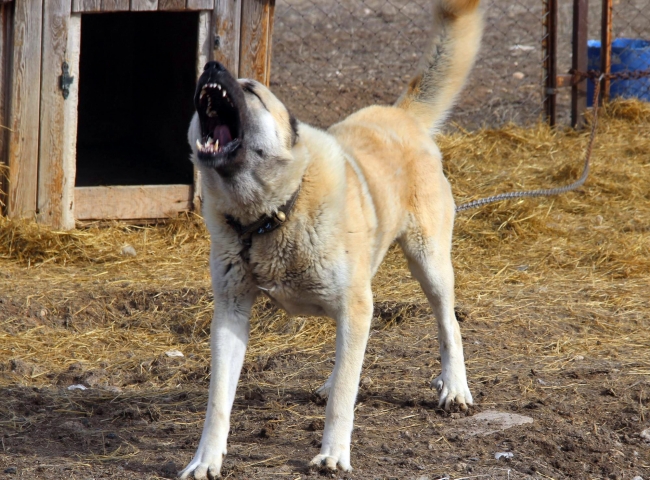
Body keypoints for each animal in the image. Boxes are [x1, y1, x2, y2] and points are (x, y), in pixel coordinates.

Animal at [180, 1, 484, 478]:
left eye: (250, 90)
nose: (211, 65)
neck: (269, 217)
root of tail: (402, 115)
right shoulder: (231, 312)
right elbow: (219, 402)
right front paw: (205, 459)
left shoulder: (354, 304)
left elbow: (344, 396)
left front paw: (333, 454)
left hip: (429, 264)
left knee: (447, 325)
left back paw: (454, 387)